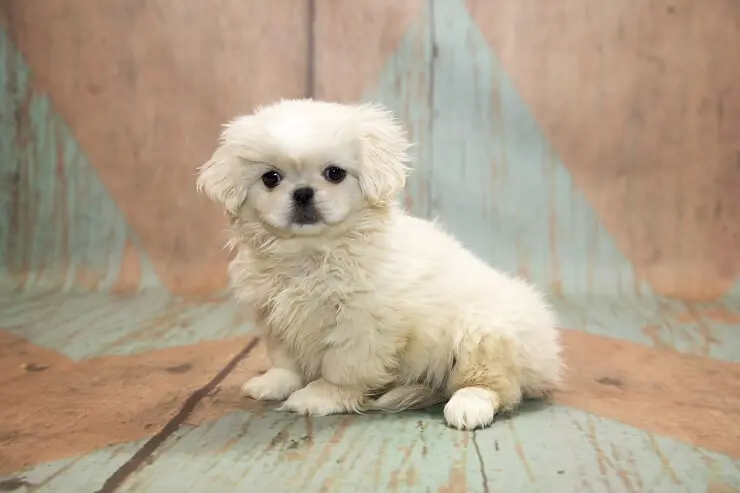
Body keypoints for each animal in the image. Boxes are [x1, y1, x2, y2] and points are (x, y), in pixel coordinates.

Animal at [195, 98, 560, 428]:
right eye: (270, 178)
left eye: (335, 174)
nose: (302, 192)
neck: (313, 253)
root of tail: (547, 357)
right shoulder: (275, 318)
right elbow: (286, 360)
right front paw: (275, 382)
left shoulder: (362, 325)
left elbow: (342, 369)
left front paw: (319, 396)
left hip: (483, 333)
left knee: (497, 385)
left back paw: (468, 405)